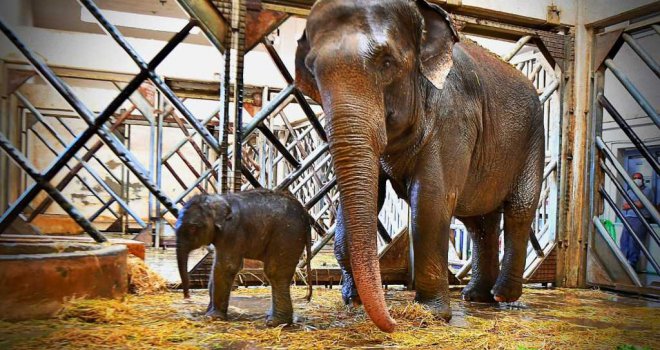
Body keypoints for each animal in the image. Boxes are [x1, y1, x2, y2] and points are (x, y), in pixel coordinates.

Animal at [177, 190, 316, 326]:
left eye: (193, 227)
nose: (187, 297)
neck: (219, 199)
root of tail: (305, 214)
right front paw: (209, 314)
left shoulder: (232, 232)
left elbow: (225, 266)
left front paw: (212, 317)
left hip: (287, 235)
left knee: (275, 272)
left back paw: (275, 322)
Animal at [296, 0, 544, 332]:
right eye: (312, 70)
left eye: (387, 62)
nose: (393, 322)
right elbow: (368, 197)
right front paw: (352, 301)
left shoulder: (453, 114)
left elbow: (430, 198)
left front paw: (431, 314)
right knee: (479, 222)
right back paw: (476, 297)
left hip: (533, 138)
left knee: (519, 209)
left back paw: (503, 296)